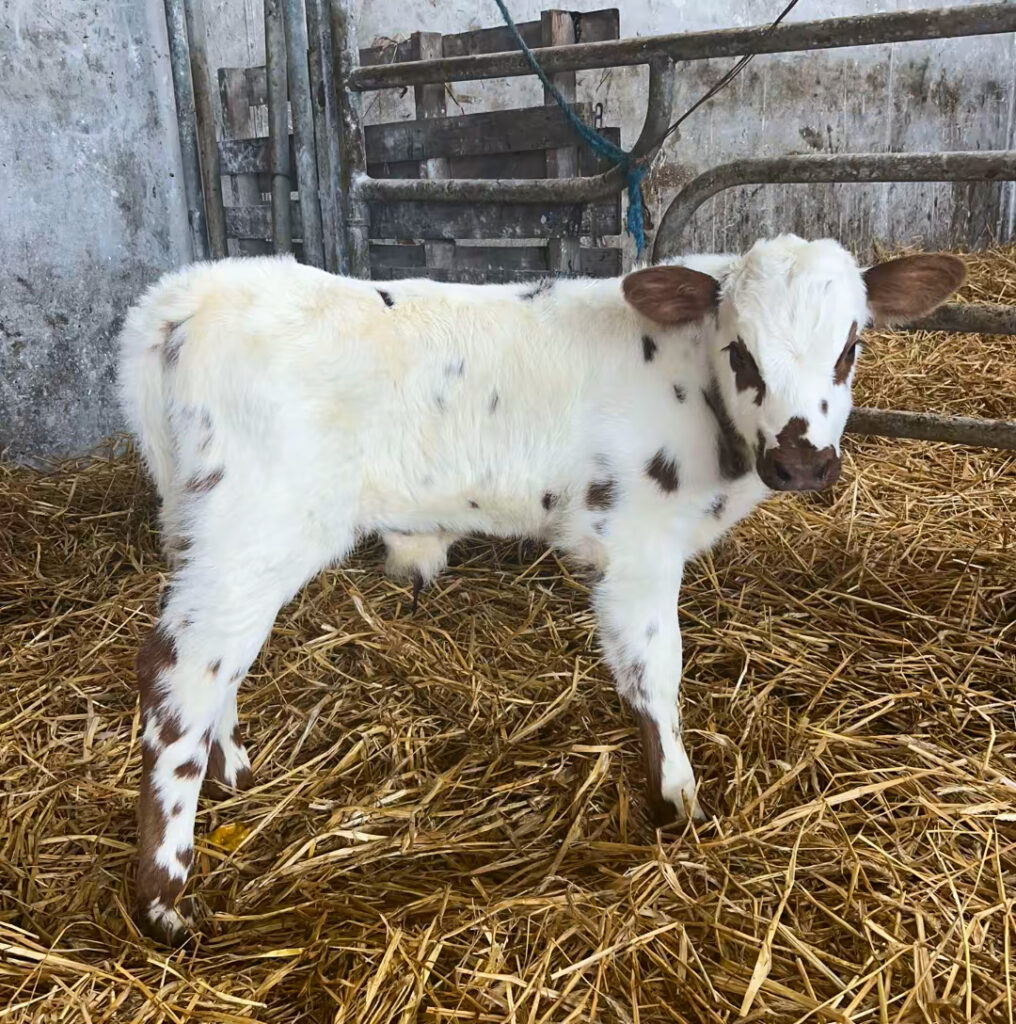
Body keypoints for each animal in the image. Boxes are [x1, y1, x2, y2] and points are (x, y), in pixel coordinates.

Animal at [117, 234, 964, 943]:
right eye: (741, 351)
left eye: (849, 348)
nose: (802, 464)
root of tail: (187, 295)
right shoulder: (640, 546)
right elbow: (656, 673)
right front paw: (677, 801)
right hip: (260, 520)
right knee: (179, 671)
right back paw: (166, 901)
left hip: (207, 524)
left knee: (213, 666)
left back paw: (233, 769)